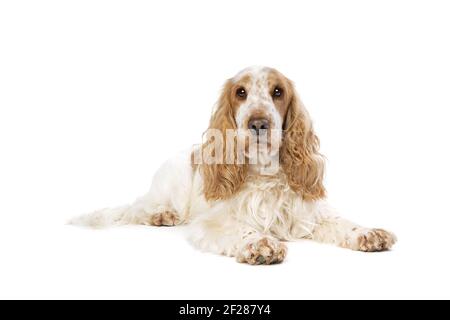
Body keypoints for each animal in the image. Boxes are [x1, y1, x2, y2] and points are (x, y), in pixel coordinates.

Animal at [68, 66, 396, 264]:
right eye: (241, 93)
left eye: (278, 91)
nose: (259, 123)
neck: (264, 175)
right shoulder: (212, 222)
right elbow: (241, 230)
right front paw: (261, 244)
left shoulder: (309, 215)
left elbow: (342, 223)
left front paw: (368, 233)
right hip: (171, 182)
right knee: (138, 207)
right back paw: (161, 215)